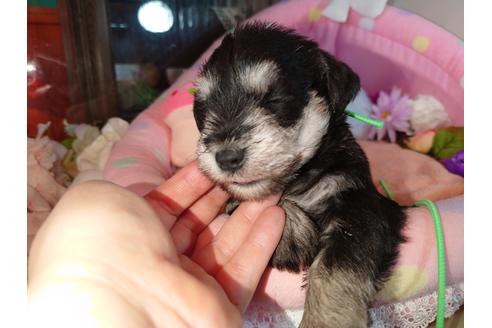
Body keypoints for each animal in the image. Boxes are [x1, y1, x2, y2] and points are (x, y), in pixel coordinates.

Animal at [194, 21, 406, 326]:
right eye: (202, 108)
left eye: (275, 98)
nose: (226, 157)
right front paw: (291, 232)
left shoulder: (361, 208)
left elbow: (336, 269)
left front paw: (327, 320)